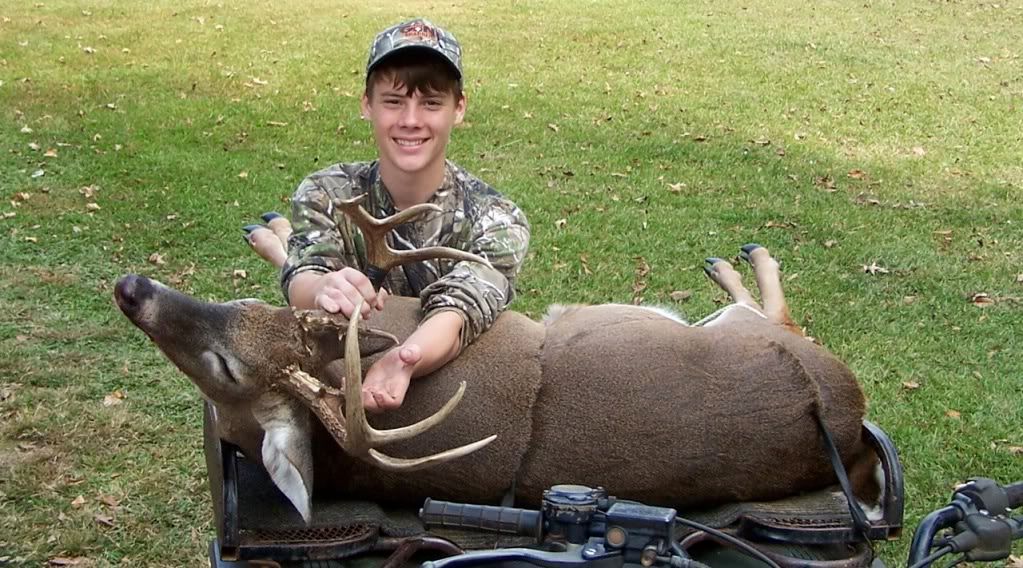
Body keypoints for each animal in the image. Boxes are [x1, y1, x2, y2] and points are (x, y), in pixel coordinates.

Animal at [114, 197, 883, 527]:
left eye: (225, 368)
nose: (133, 288)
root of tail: (846, 418)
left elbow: (306, 268)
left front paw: (272, 230)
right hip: (749, 336)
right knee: (780, 313)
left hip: (749, 334)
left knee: (778, 310)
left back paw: (739, 256)